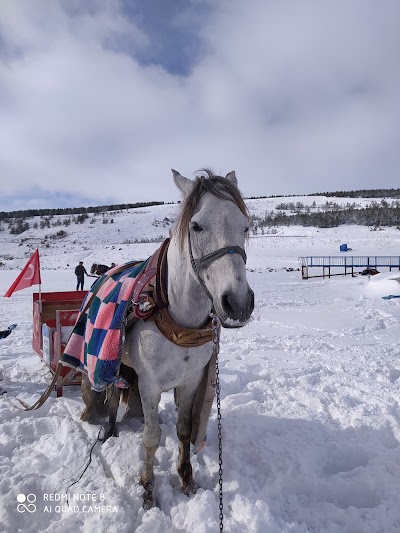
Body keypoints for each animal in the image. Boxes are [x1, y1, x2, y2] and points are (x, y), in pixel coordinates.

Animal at [83, 169, 255, 508]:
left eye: (245, 225)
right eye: (196, 225)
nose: (238, 303)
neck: (179, 320)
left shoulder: (190, 381)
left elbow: (184, 430)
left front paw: (187, 480)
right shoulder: (149, 384)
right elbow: (151, 438)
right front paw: (148, 490)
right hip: (110, 362)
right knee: (111, 396)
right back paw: (110, 430)